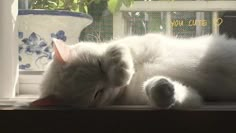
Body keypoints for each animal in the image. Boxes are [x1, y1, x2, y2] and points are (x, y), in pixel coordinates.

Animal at [37, 33, 236, 109]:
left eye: (100, 65)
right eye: (97, 93)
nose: (115, 84)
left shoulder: (135, 43)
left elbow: (117, 48)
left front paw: (122, 72)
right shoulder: (192, 97)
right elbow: (173, 93)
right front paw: (164, 90)